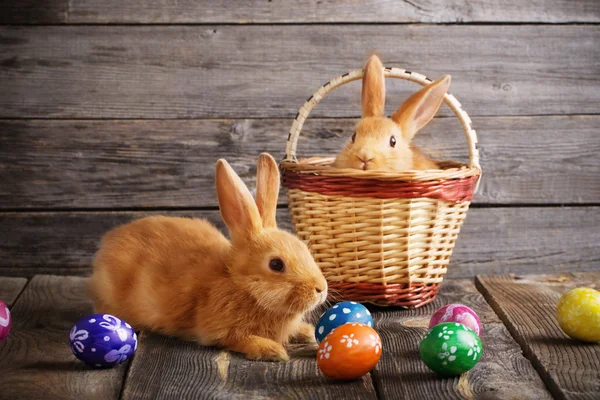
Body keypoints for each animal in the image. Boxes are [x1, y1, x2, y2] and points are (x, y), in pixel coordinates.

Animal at [88, 154, 328, 362]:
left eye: (304, 249)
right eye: (276, 264)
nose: (321, 289)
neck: (240, 283)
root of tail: (108, 241)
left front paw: (306, 332)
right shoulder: (219, 331)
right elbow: (237, 339)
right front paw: (271, 350)